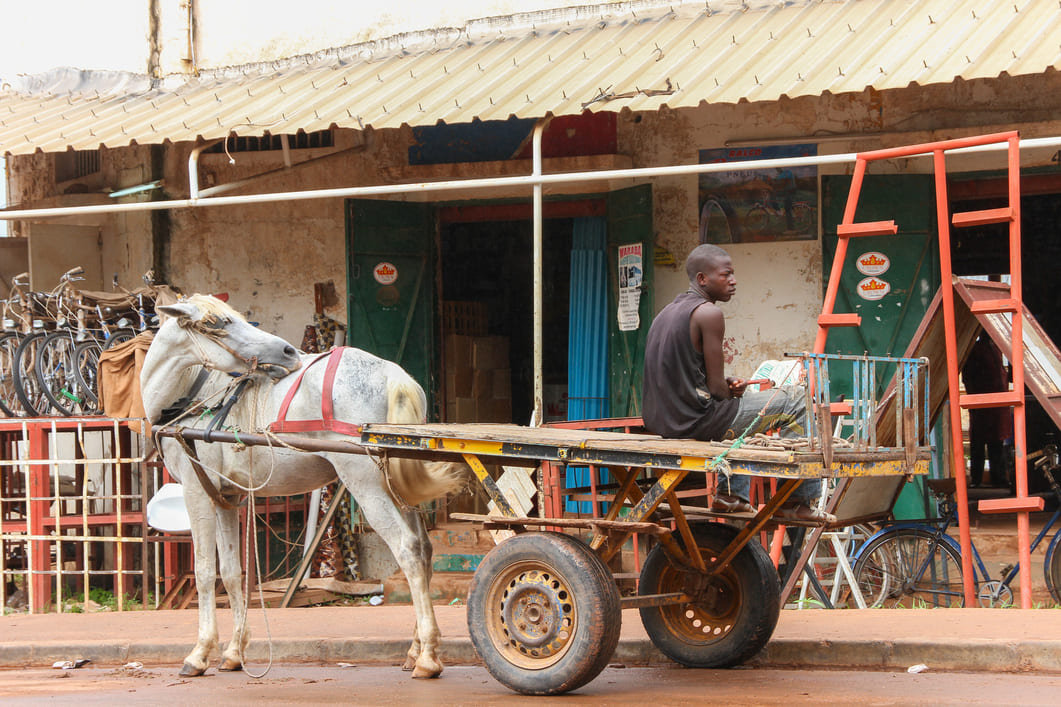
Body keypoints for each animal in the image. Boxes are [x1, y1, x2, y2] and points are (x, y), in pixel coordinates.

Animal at [141, 292, 464, 679]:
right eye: (220, 323)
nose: (287, 351)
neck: (192, 396)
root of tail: (392, 374)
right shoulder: (227, 497)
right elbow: (231, 573)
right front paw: (234, 652)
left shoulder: (196, 489)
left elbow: (205, 572)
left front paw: (200, 652)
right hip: (397, 486)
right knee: (426, 550)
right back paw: (415, 650)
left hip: (365, 482)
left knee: (409, 549)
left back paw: (428, 656)